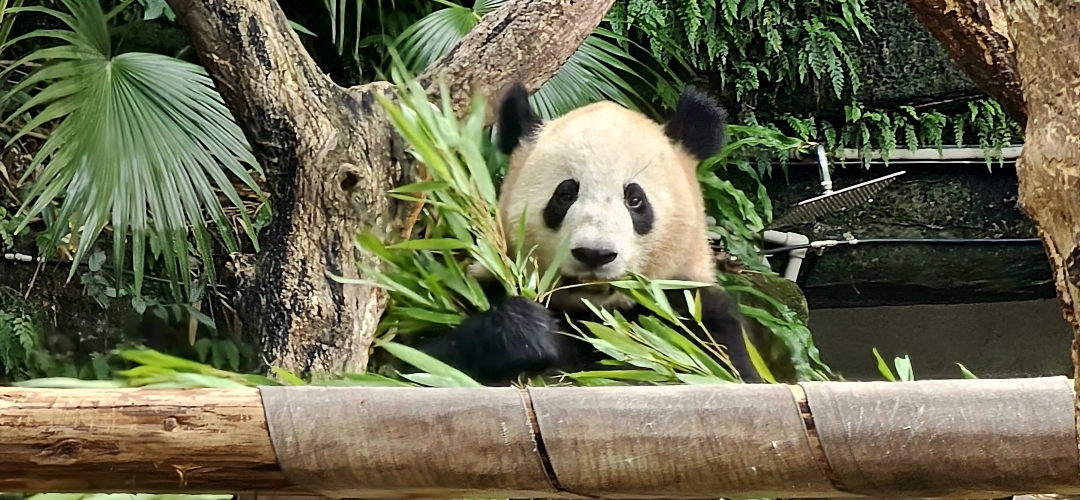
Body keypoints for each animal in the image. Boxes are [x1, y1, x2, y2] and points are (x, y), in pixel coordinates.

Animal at [406, 83, 760, 386]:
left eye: (635, 200)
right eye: (565, 194)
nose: (595, 253)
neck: (592, 312)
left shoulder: (695, 312)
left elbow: (728, 373)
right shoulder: (476, 290)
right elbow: (418, 361)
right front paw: (528, 333)